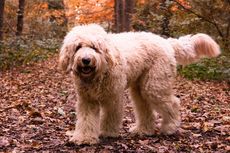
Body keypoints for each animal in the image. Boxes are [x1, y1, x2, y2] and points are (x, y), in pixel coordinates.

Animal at [59, 23, 221, 145]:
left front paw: (108, 132)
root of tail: (166, 42)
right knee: (145, 108)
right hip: (140, 88)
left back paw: (169, 127)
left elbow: (111, 115)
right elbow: (86, 119)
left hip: (155, 85)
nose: (86, 60)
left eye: (94, 47)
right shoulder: (87, 100)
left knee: (172, 103)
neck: (99, 72)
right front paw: (84, 138)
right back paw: (144, 130)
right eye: (78, 47)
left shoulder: (113, 97)